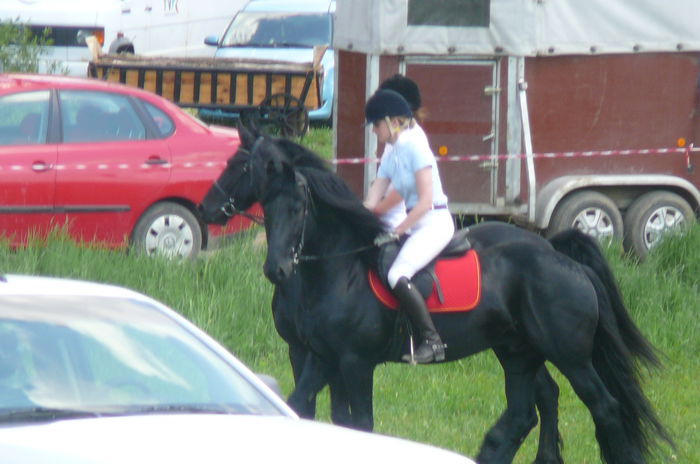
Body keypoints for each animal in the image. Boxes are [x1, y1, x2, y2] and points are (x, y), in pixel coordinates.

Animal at [252, 132, 672, 462]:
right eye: (266, 208)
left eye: (298, 208)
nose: (276, 270)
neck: (341, 271)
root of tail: (561, 259)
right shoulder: (322, 357)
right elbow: (301, 406)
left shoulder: (356, 362)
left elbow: (360, 423)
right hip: (518, 351)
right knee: (527, 410)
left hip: (571, 356)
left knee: (604, 407)